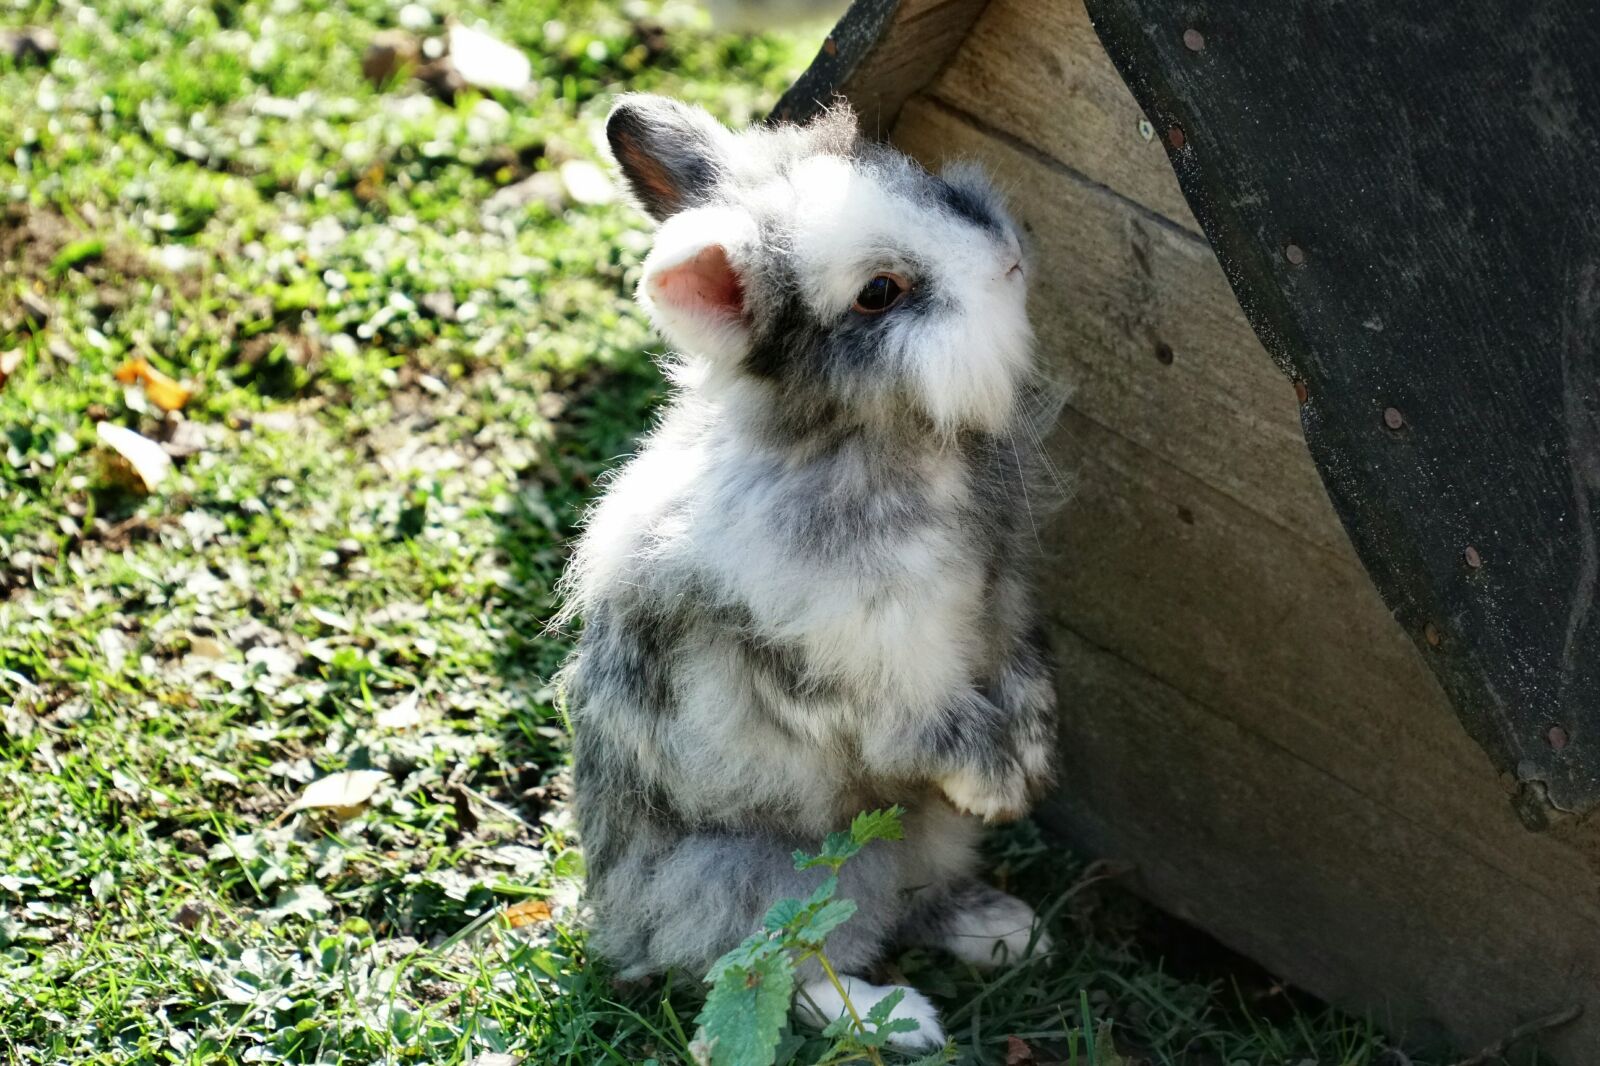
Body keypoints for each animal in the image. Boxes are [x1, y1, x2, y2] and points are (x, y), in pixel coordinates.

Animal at [563, 93, 1062, 1043]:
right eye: (879, 294)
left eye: (916, 179)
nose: (1013, 257)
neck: (879, 443)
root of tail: (627, 926)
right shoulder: (841, 667)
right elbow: (924, 728)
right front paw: (998, 787)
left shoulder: (1004, 604)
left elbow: (1020, 674)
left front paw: (1032, 753)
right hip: (764, 875)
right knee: (776, 966)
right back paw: (900, 1021)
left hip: (914, 841)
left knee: (909, 901)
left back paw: (1004, 931)